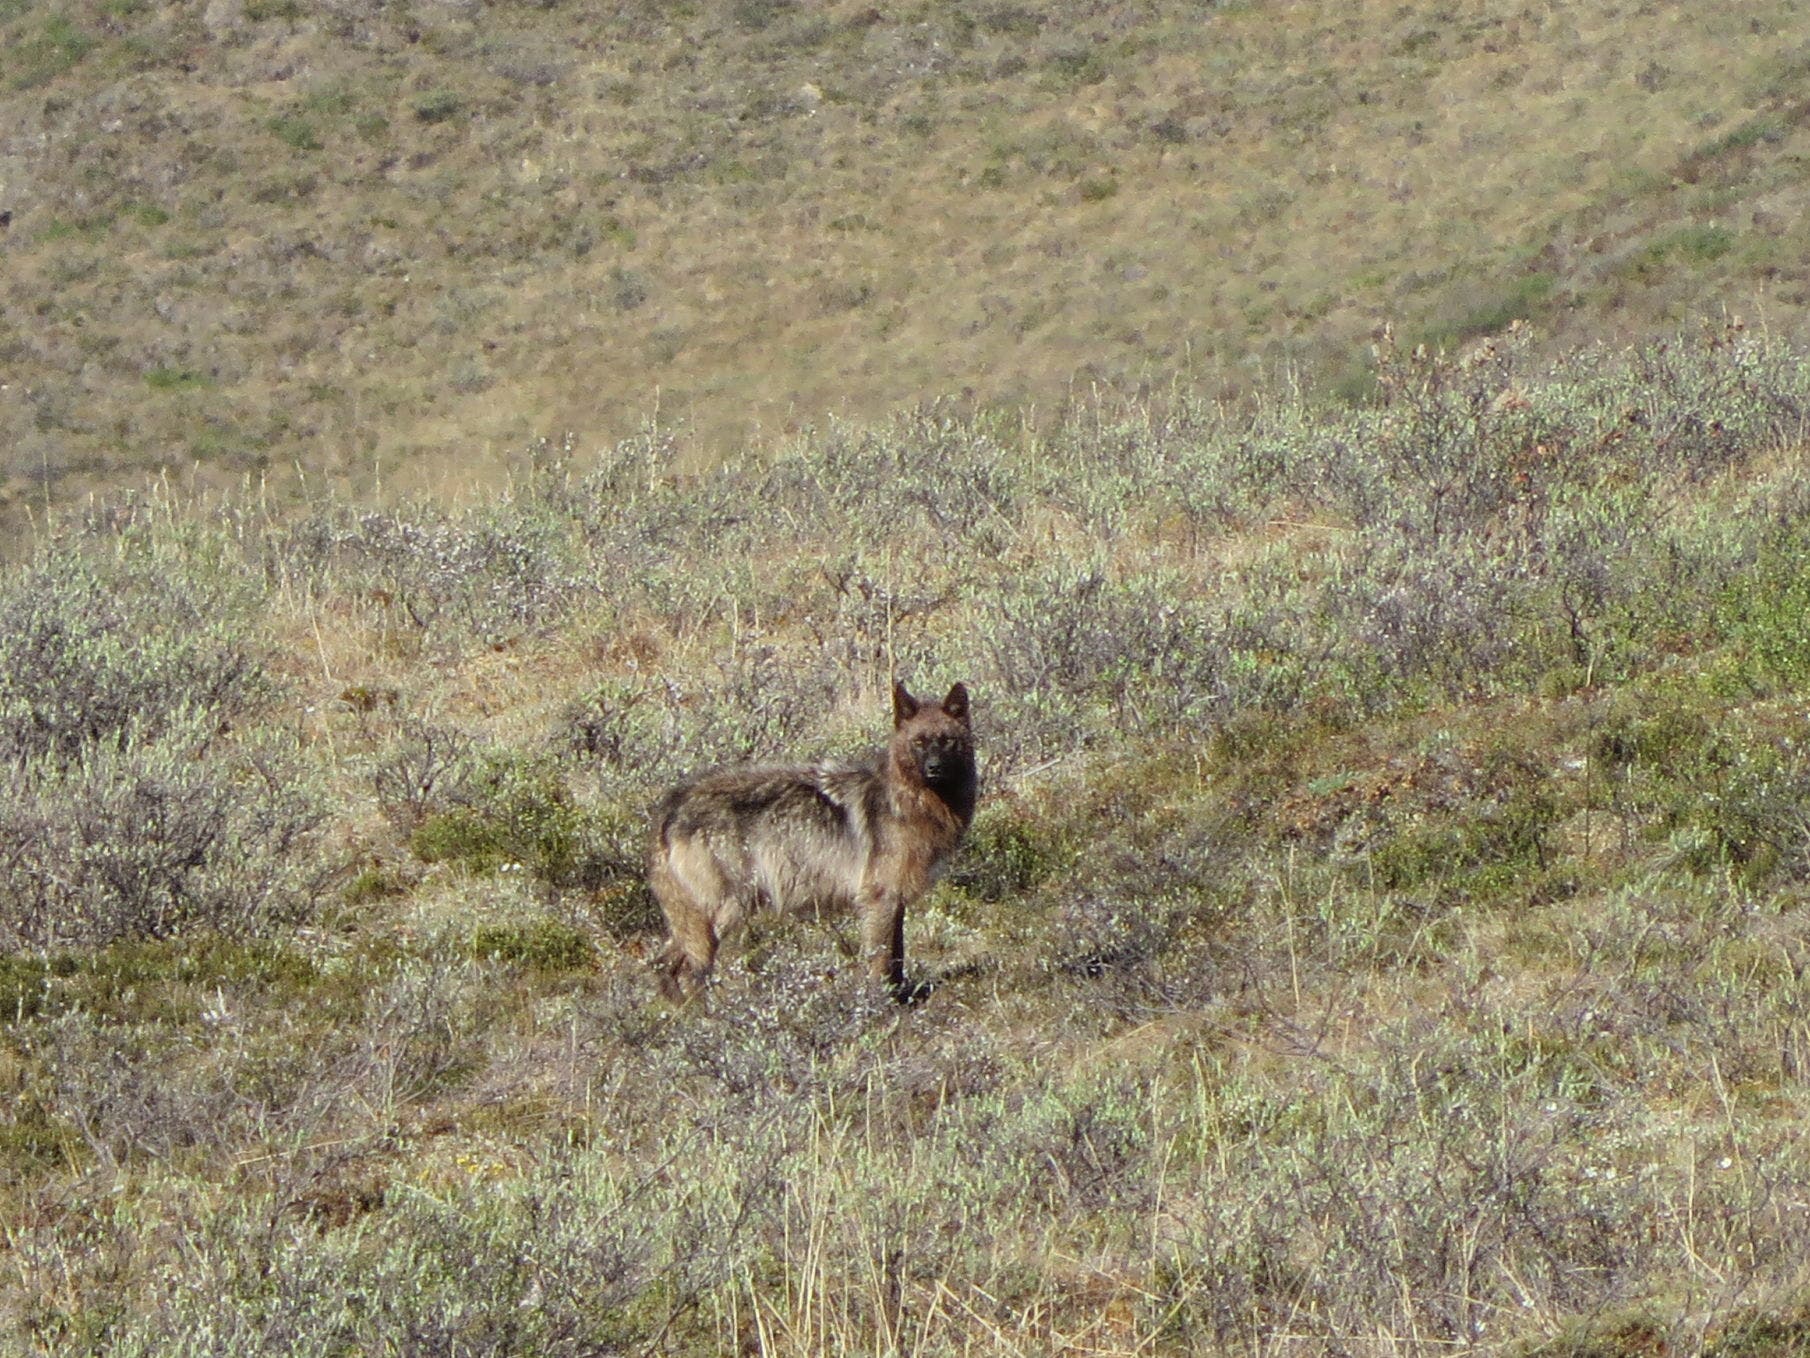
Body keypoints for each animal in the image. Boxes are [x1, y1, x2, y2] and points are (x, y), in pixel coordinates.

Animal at [649, 680, 977, 1002]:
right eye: (919, 743)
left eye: (947, 741)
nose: (934, 768)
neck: (911, 801)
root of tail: (672, 806)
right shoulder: (880, 898)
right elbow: (883, 962)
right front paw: (884, 1006)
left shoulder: (894, 901)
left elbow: (897, 958)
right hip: (726, 911)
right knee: (689, 971)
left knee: (664, 965)